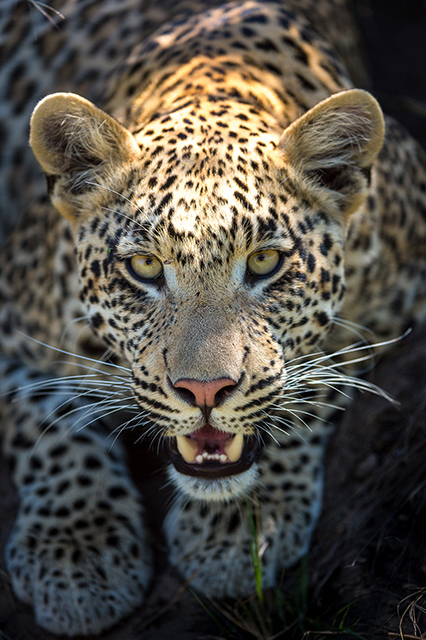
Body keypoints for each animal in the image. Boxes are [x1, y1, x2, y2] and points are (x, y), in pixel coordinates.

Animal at [1, 0, 426, 636]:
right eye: (146, 266)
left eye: (265, 261)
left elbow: (312, 380)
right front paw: (76, 552)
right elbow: (49, 425)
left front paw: (238, 530)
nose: (205, 391)